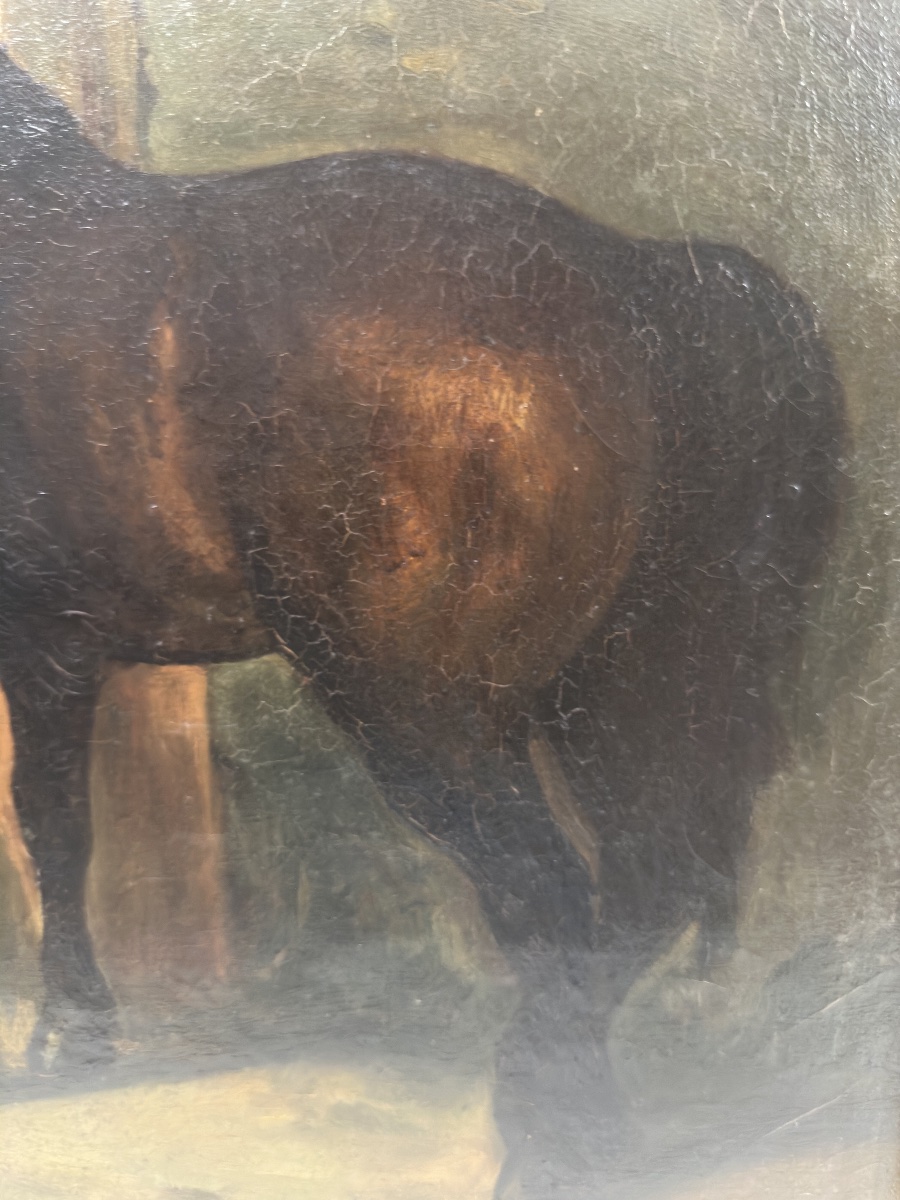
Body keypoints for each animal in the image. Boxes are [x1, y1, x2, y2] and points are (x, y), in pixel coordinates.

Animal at [0, 48, 844, 1193]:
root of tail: (636, 284)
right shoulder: (61, 648)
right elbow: (58, 824)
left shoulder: (35, 645)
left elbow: (45, 823)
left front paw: (65, 1036)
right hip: (620, 691)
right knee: (649, 881)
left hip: (425, 717)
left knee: (556, 898)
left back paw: (546, 1140)